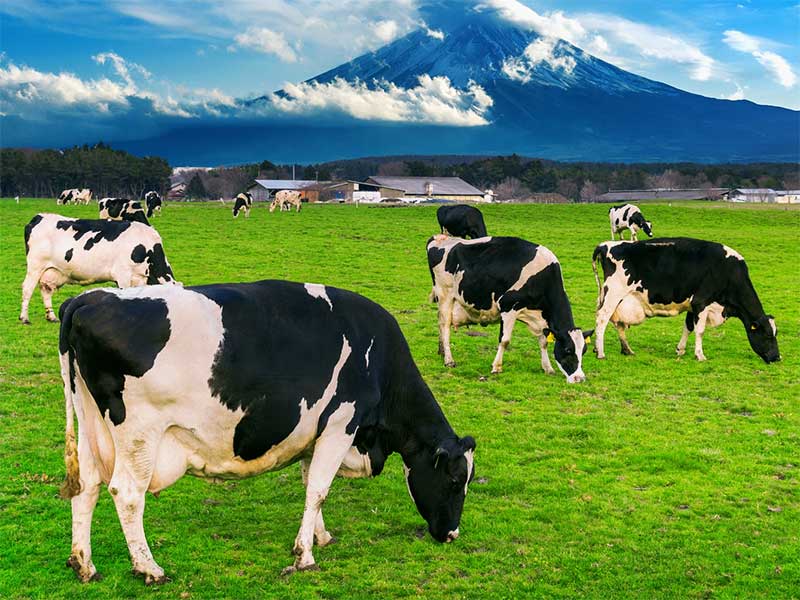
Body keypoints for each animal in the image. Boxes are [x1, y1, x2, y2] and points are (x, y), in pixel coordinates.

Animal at [20, 214, 177, 324]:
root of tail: (39, 217)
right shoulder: (123, 275)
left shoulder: (140, 278)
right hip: (35, 267)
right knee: (27, 288)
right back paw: (24, 318)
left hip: (51, 271)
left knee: (46, 290)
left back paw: (51, 316)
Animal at [58, 280, 477, 583]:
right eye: (456, 481)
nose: (452, 534)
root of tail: (88, 298)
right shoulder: (341, 424)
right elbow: (319, 489)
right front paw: (305, 555)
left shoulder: (316, 434)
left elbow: (310, 485)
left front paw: (319, 537)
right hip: (139, 434)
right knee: (127, 493)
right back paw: (150, 568)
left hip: (90, 425)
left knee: (87, 487)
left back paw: (84, 564)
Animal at [427, 235, 593, 383]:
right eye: (568, 350)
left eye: (584, 351)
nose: (580, 378)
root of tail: (439, 238)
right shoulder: (508, 307)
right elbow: (505, 340)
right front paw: (496, 367)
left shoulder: (539, 318)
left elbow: (543, 342)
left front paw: (548, 368)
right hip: (445, 294)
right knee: (445, 325)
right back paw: (449, 360)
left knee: (440, 322)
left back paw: (441, 352)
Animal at [591, 238, 779, 363]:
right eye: (767, 335)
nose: (777, 357)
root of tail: (606, 245)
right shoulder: (701, 302)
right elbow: (700, 330)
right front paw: (700, 355)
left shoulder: (692, 306)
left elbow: (688, 326)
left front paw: (680, 350)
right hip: (613, 295)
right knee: (602, 319)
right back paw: (601, 352)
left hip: (618, 300)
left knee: (618, 323)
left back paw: (626, 350)